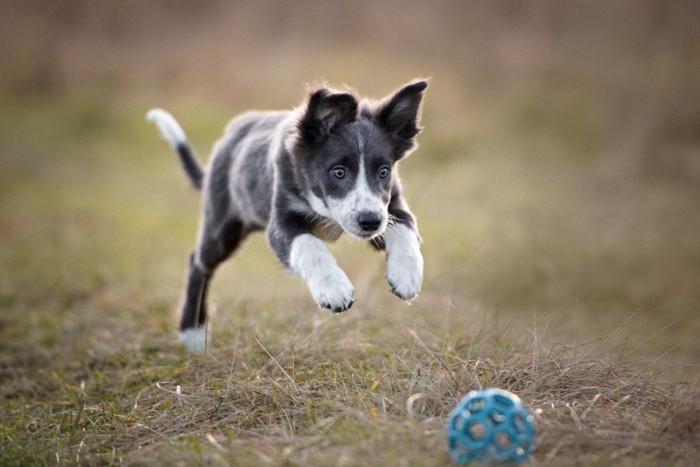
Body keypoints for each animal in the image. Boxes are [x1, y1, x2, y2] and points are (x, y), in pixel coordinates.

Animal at [148, 80, 426, 352]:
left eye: (383, 171)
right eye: (338, 172)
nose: (370, 221)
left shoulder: (390, 207)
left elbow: (406, 226)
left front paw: (407, 275)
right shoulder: (281, 222)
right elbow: (310, 246)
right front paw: (333, 288)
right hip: (222, 225)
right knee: (198, 264)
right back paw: (192, 333)